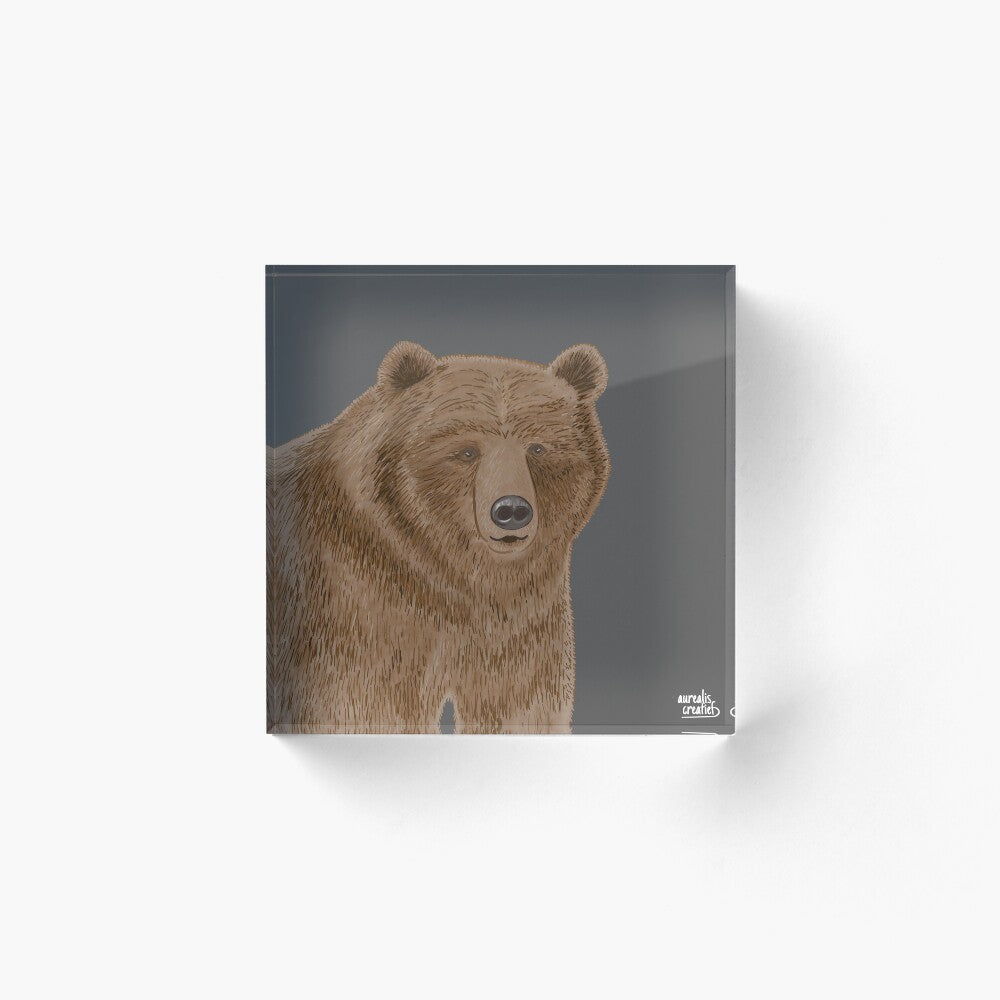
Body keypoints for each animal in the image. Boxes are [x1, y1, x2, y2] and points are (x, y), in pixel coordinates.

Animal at [267, 341, 610, 733]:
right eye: (466, 451)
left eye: (538, 447)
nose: (510, 510)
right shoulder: (352, 609)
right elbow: (366, 710)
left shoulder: (523, 621)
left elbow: (520, 707)